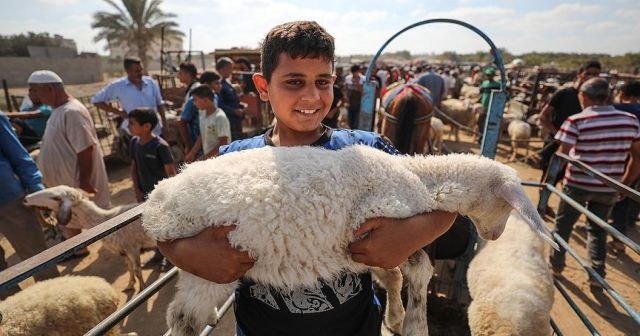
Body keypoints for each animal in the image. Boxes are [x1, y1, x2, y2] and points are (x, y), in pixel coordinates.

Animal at [23, 186, 155, 292]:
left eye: (55, 198)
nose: (25, 199)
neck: (105, 220)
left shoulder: (133, 248)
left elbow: (137, 270)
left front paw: (143, 288)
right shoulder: (124, 251)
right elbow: (130, 268)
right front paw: (129, 285)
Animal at [141, 145, 556, 336]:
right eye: (506, 204)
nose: (495, 235)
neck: (421, 178)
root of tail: (155, 204)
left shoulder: (370, 247)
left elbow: (392, 276)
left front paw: (395, 315)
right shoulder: (382, 223)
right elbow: (419, 272)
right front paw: (414, 323)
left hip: (201, 269)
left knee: (180, 316)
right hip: (211, 259)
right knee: (185, 317)